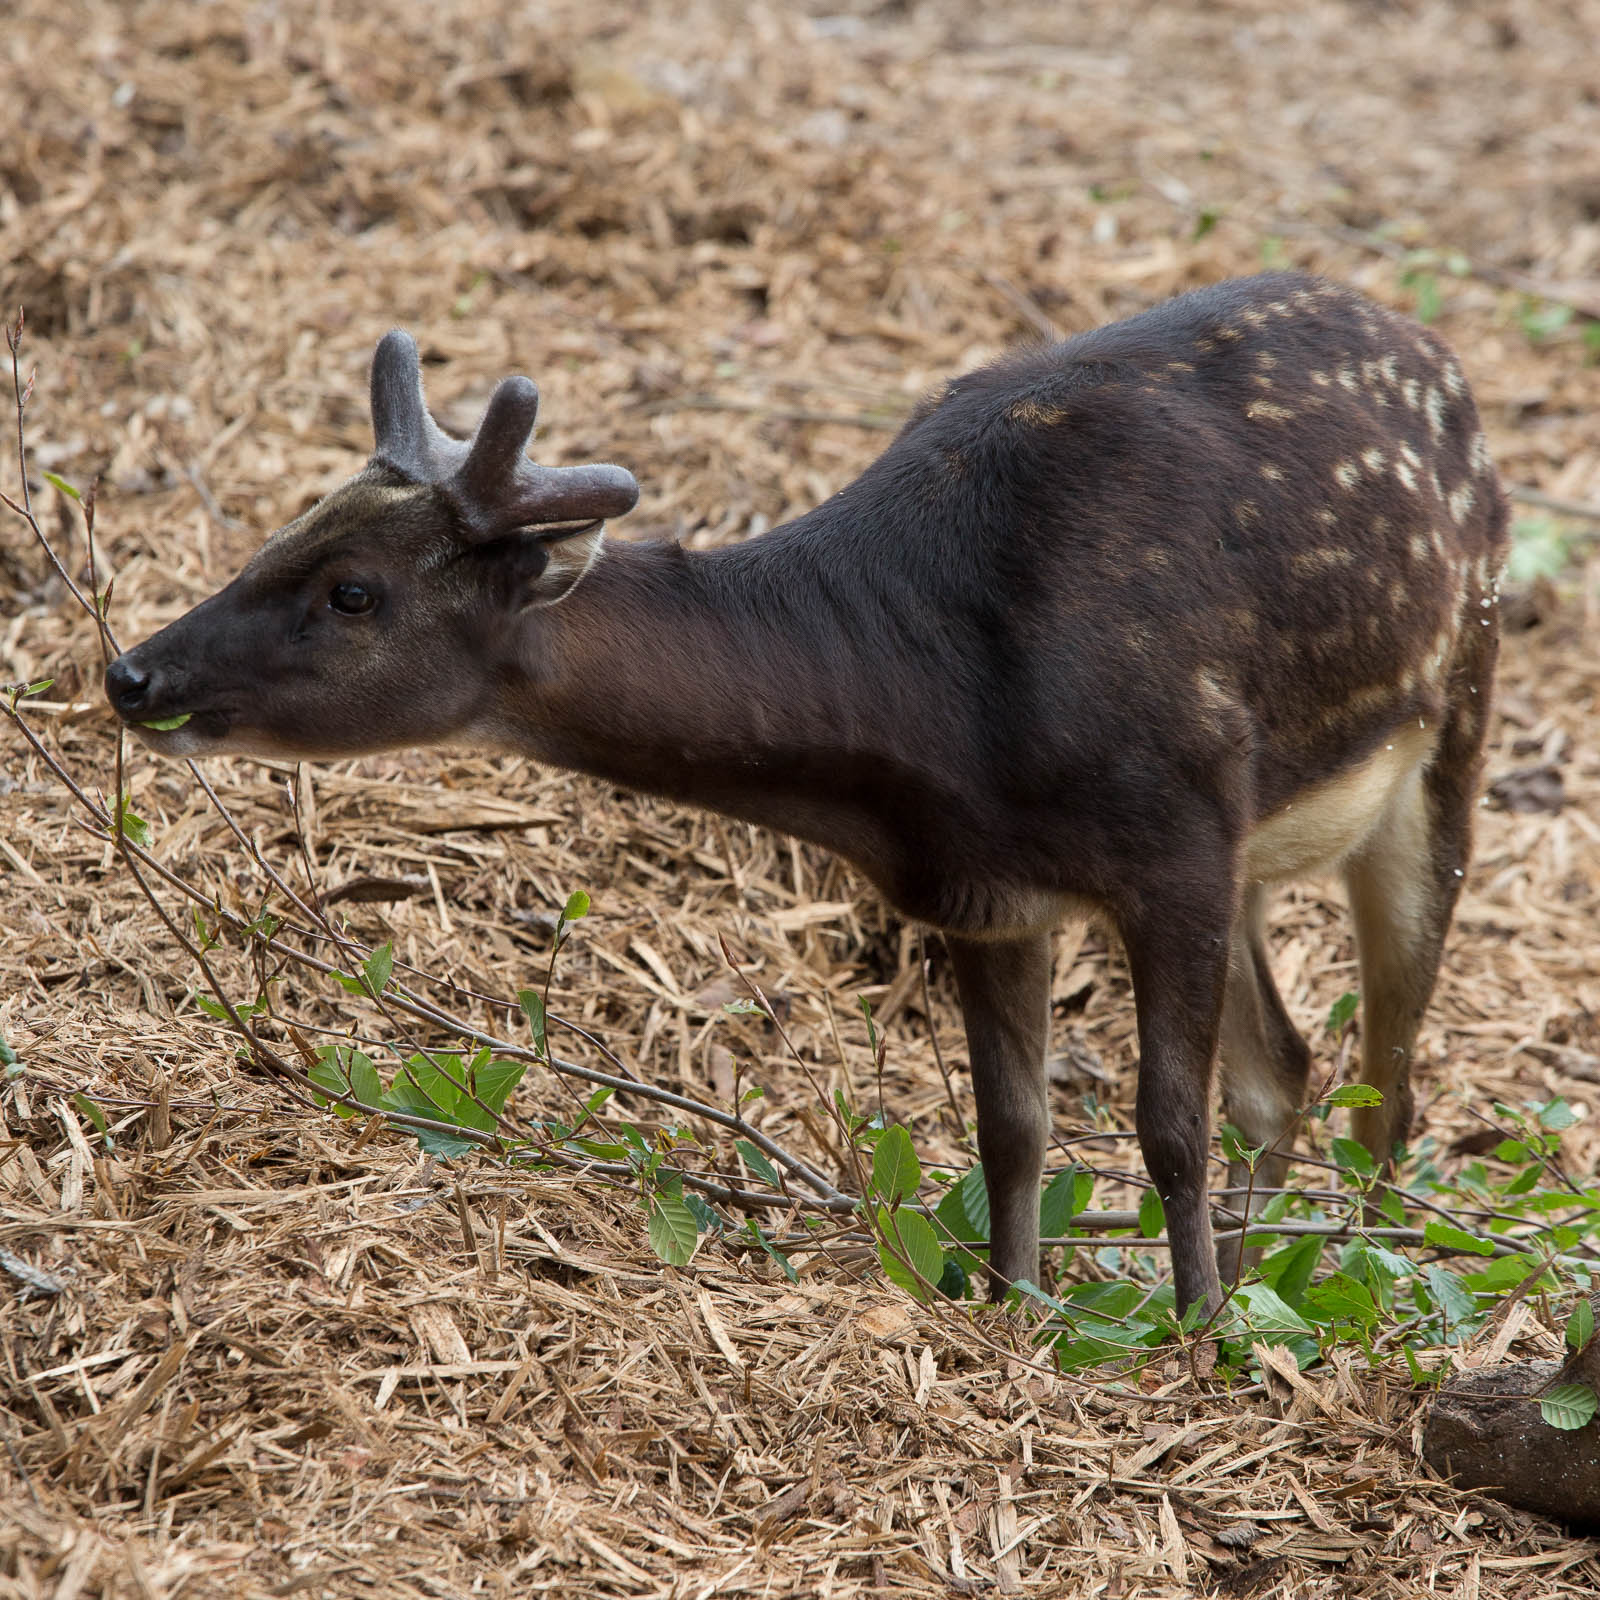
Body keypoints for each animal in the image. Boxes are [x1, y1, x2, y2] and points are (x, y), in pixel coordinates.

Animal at [104, 273, 1507, 1317]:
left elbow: (1168, 1121)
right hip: (1266, 842)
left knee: (1390, 1071)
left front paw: (1198, 1337)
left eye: (354, 592)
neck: (945, 722)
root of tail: (1435, 353)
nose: (134, 671)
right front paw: (1013, 1305)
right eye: (286, 529)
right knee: (1290, 1064)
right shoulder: (991, 890)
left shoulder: (1174, 833)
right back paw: (1289, 1268)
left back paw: (1366, 1274)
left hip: (1455, 706)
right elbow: (1010, 1124)